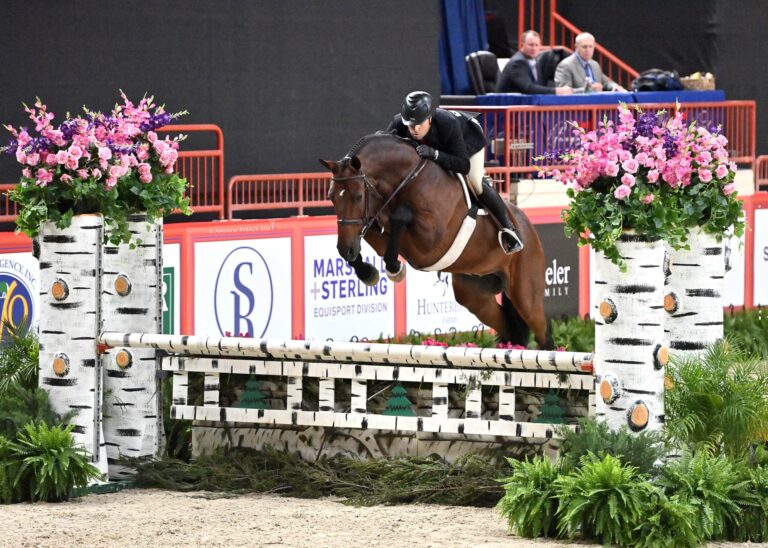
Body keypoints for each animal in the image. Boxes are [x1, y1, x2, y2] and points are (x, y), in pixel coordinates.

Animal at [320, 132, 552, 346]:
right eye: (331, 197)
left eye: (358, 196)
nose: (345, 250)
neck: (408, 177)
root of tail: (527, 227)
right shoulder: (374, 223)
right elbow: (373, 230)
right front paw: (367, 272)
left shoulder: (430, 241)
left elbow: (400, 216)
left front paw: (394, 267)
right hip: (473, 294)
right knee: (507, 327)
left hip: (526, 295)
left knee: (541, 329)